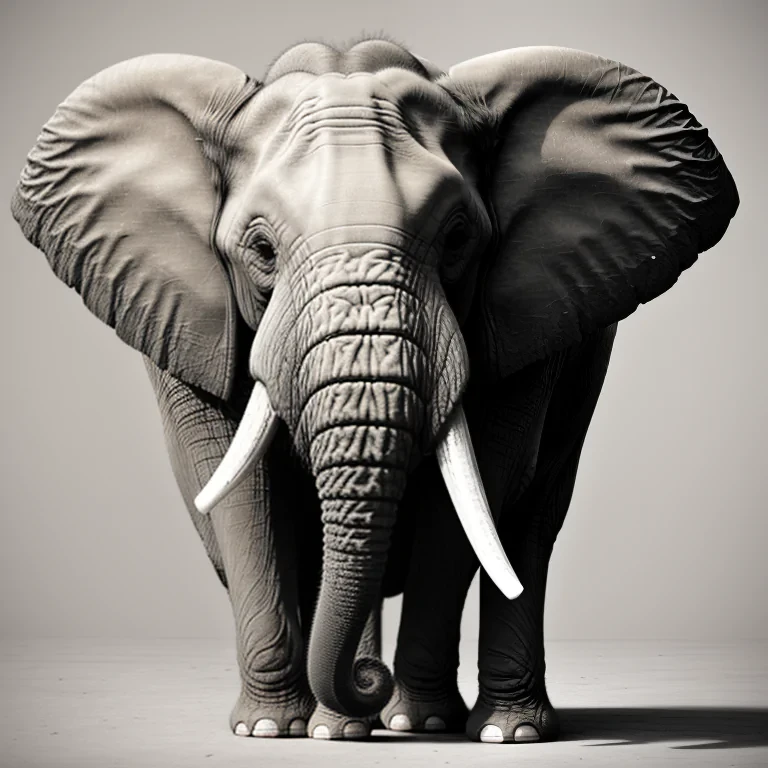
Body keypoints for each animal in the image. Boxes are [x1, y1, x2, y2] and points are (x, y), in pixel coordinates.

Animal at [11, 38, 738, 744]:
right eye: (261, 249)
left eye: (458, 238)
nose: (368, 681)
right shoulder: (188, 318)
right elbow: (240, 489)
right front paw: (270, 728)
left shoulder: (528, 321)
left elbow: (480, 481)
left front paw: (422, 723)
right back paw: (344, 725)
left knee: (530, 525)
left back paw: (498, 730)